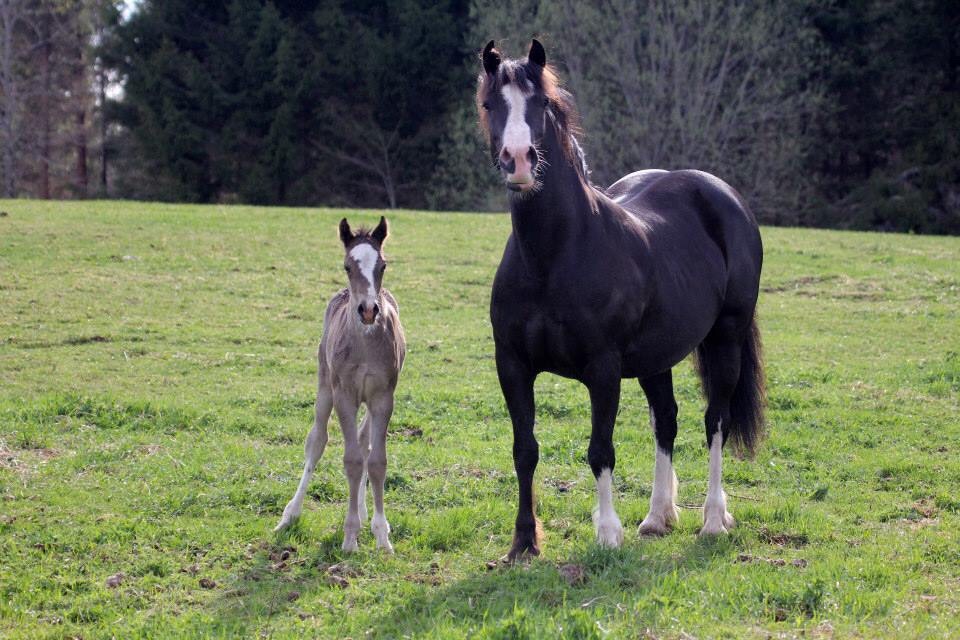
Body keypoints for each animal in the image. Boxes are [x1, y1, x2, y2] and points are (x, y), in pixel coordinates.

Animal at [275, 216, 406, 553]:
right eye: (347, 266)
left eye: (383, 265)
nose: (369, 310)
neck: (365, 343)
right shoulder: (344, 395)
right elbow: (351, 460)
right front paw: (350, 537)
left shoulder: (383, 397)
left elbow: (375, 461)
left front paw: (382, 535)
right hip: (325, 387)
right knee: (317, 441)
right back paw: (290, 515)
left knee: (363, 441)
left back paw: (364, 512)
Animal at [478, 39, 765, 560]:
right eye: (491, 104)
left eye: (541, 103)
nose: (519, 160)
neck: (553, 256)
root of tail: (723, 195)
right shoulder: (511, 364)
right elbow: (524, 449)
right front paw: (524, 542)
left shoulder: (603, 369)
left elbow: (600, 449)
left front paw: (607, 534)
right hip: (657, 356)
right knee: (666, 422)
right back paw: (657, 518)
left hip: (726, 338)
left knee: (716, 420)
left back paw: (713, 521)